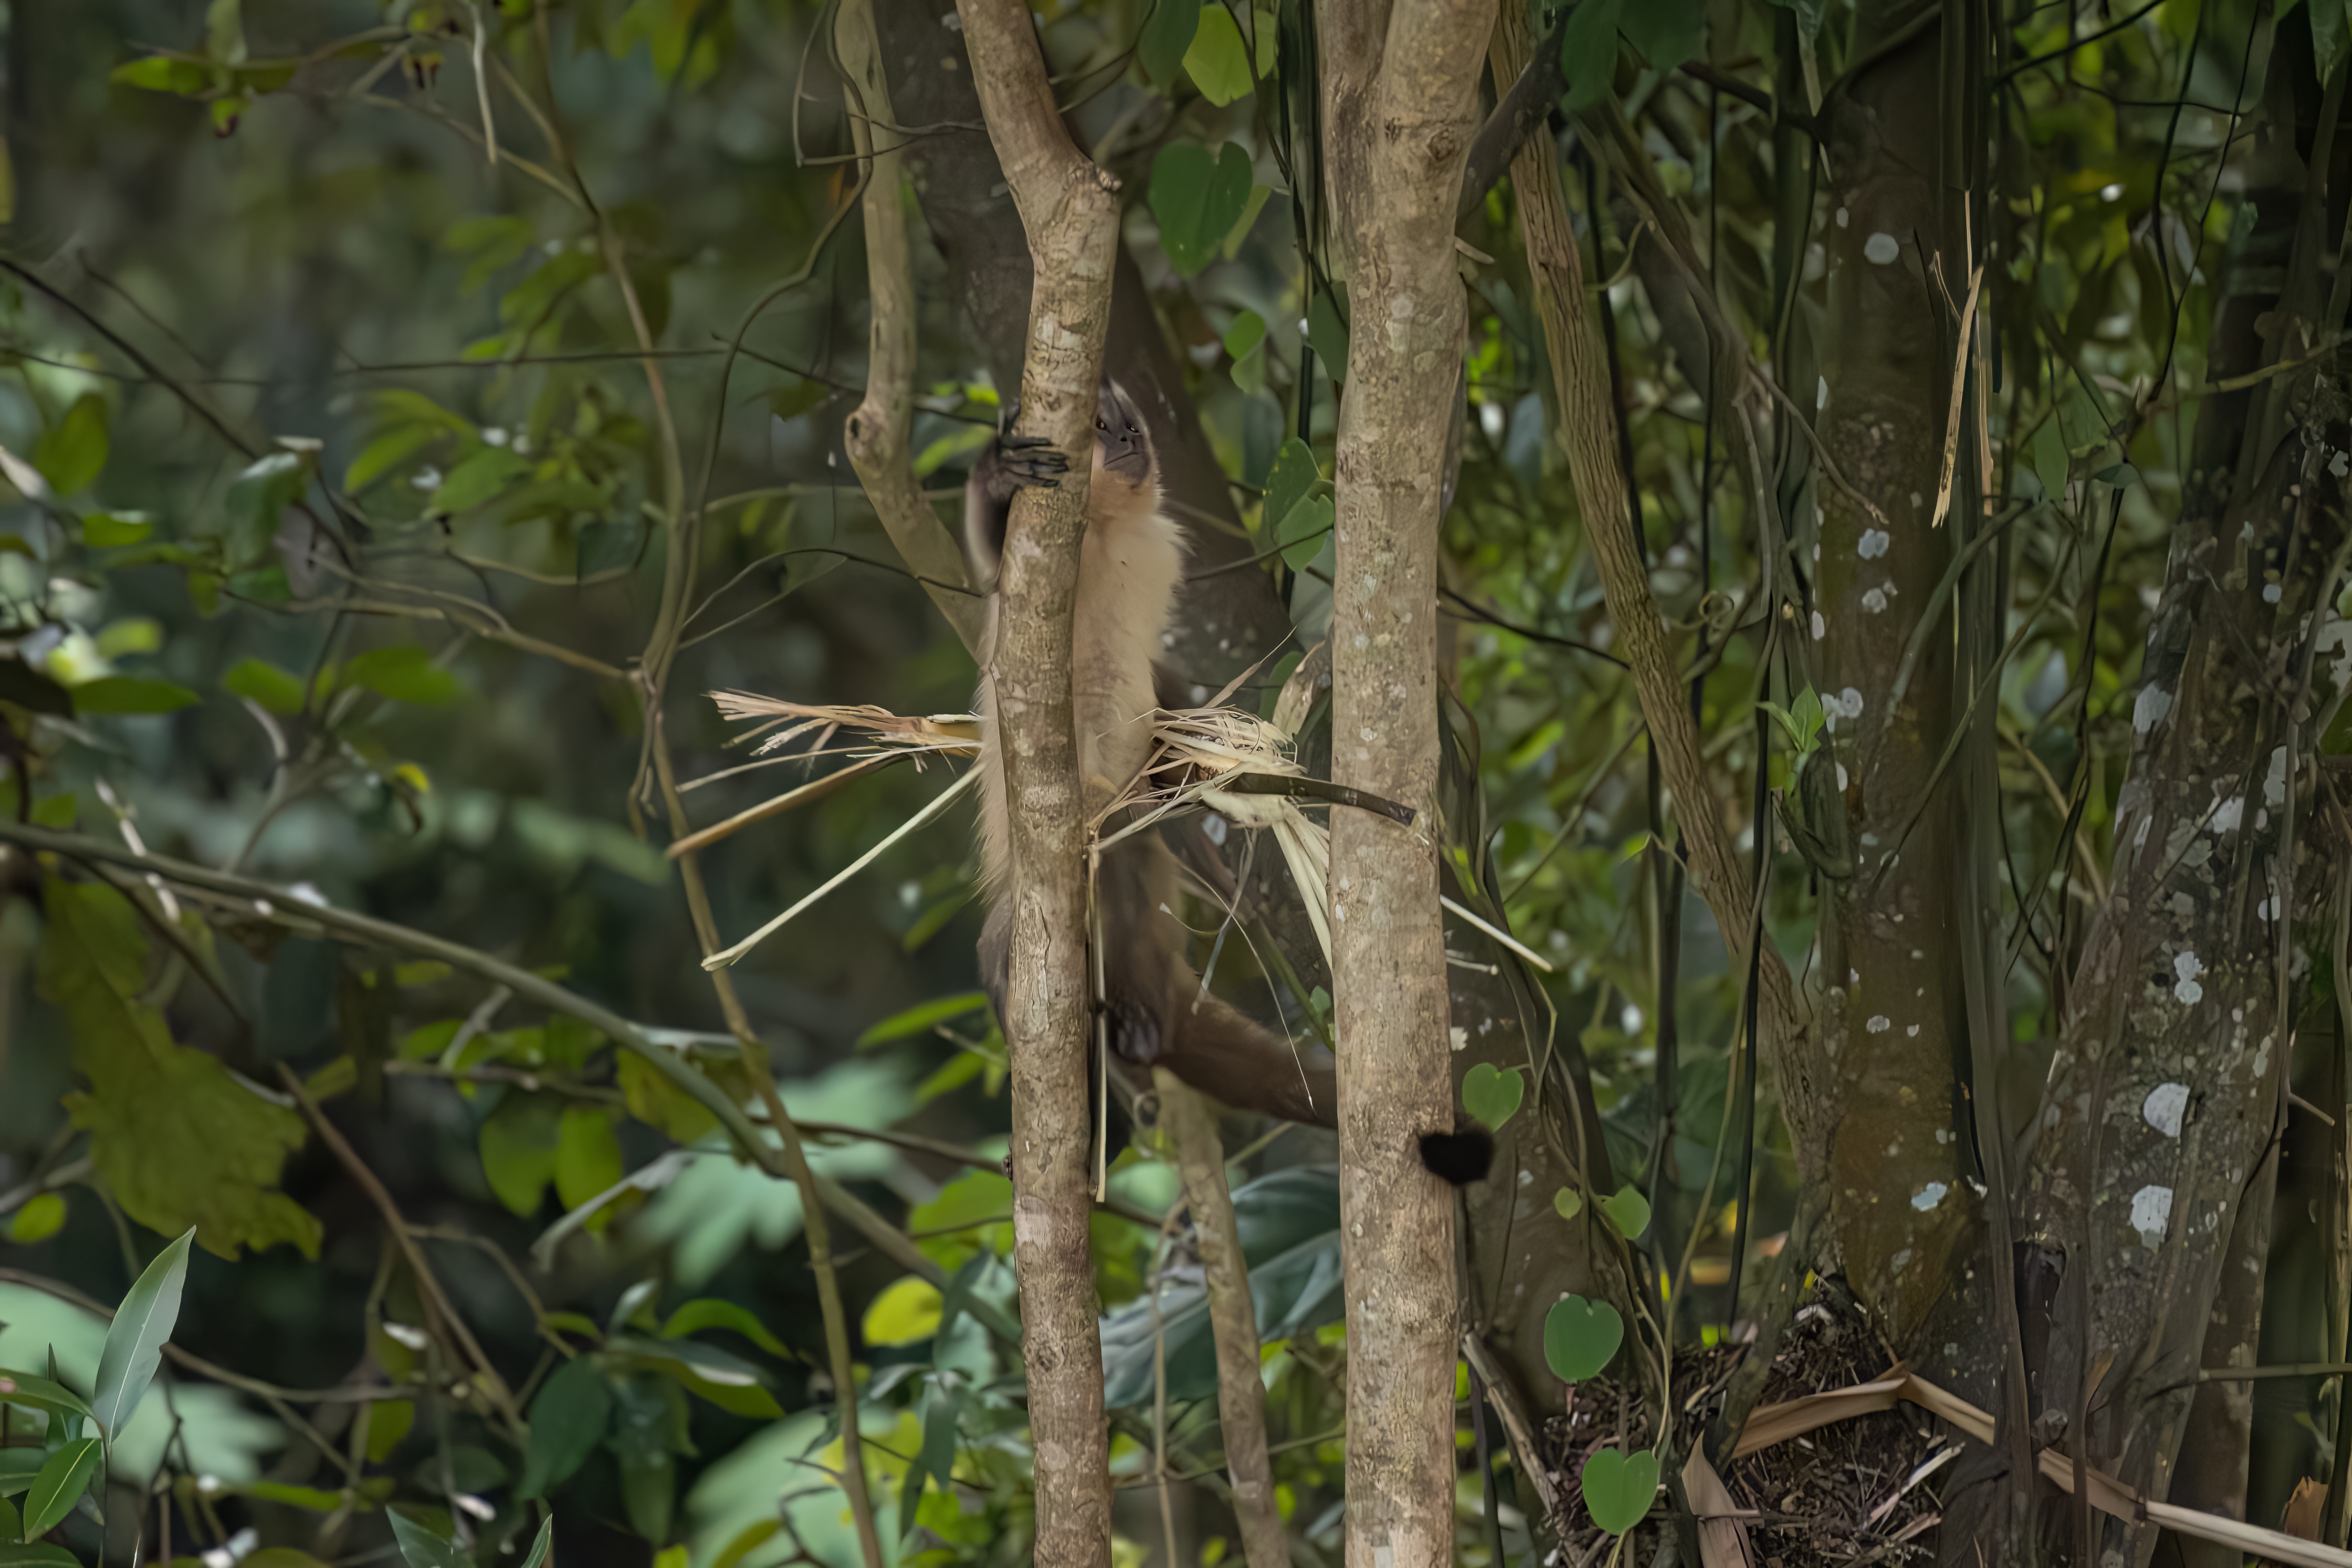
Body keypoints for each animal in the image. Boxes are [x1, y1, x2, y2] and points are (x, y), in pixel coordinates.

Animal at [962, 380, 1493, 1187]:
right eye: (1099, 425)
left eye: (1128, 424)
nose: (1127, 441)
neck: (1109, 528)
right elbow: (999, 569)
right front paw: (996, 474)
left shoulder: (1158, 550)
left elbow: (1165, 709)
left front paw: (1219, 762)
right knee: (1006, 951)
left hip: (1142, 914)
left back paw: (1134, 1038)